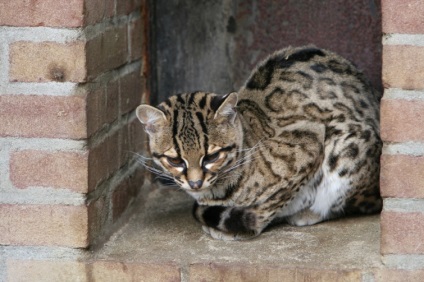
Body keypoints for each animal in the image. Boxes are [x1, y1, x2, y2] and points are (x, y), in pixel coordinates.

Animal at [137, 46, 382, 240]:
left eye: (212, 157)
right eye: (175, 161)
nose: (195, 183)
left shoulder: (310, 143)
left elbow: (273, 202)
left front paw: (247, 224)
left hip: (347, 152)